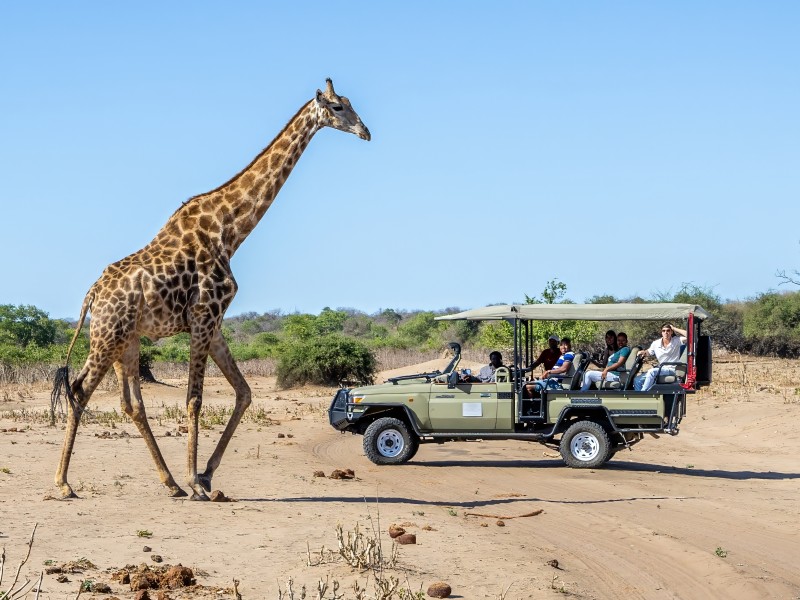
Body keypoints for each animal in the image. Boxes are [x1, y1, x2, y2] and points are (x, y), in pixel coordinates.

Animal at [52, 79, 370, 500]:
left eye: (348, 103)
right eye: (336, 107)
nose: (365, 131)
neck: (229, 230)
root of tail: (92, 295)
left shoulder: (214, 323)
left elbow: (244, 392)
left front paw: (203, 476)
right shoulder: (204, 316)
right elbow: (194, 399)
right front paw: (196, 481)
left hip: (127, 340)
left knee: (131, 404)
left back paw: (169, 483)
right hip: (107, 335)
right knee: (79, 389)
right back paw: (63, 483)